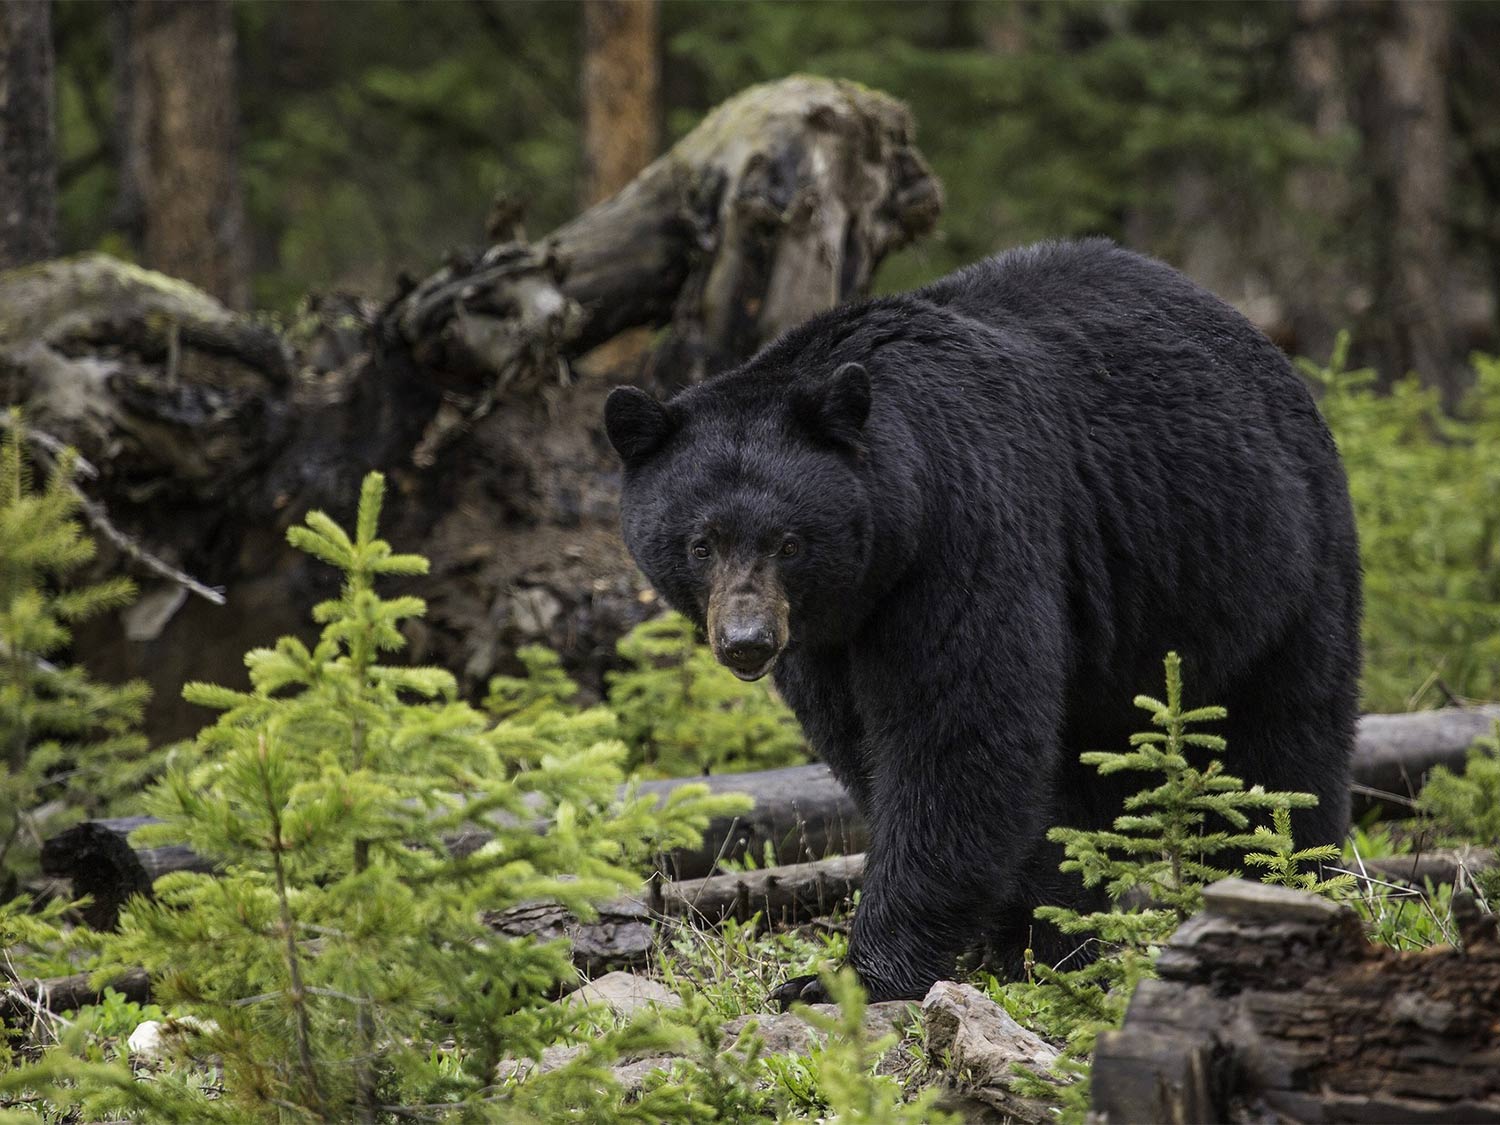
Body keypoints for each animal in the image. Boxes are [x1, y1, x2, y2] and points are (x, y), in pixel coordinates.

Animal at [597, 238, 1362, 1002]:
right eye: (701, 543)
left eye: (789, 541)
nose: (747, 642)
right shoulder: (829, 635)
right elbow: (866, 742)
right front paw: (1025, 934)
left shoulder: (966, 528)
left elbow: (959, 735)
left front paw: (852, 974)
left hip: (1270, 565)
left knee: (1283, 745)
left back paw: (1280, 882)